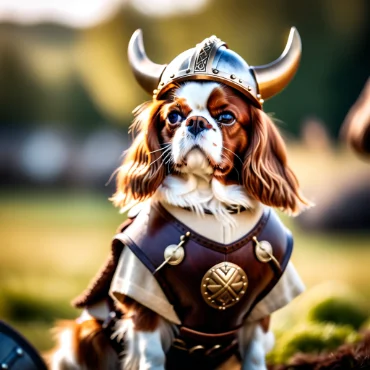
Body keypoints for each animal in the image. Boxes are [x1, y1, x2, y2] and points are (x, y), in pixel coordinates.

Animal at [48, 27, 310, 368]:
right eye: (173, 116)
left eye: (226, 117)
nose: (196, 122)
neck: (212, 208)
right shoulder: (144, 306)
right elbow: (152, 355)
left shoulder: (261, 312)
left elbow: (254, 356)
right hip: (82, 336)